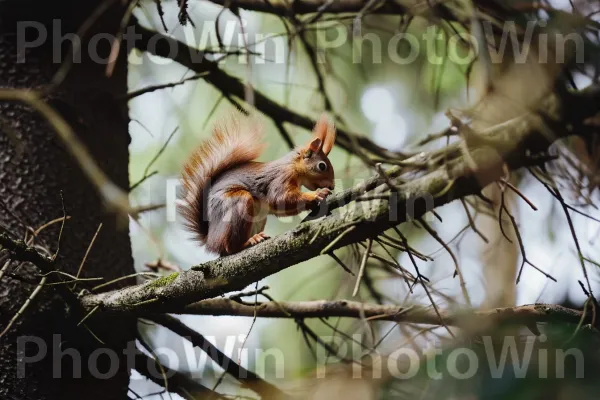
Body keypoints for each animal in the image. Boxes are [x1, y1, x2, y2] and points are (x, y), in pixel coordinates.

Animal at [178, 114, 338, 255]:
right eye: (322, 166)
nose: (332, 186)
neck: (293, 166)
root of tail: (211, 239)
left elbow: (281, 209)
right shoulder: (280, 178)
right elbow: (280, 198)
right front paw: (317, 194)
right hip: (238, 204)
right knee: (229, 249)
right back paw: (248, 241)